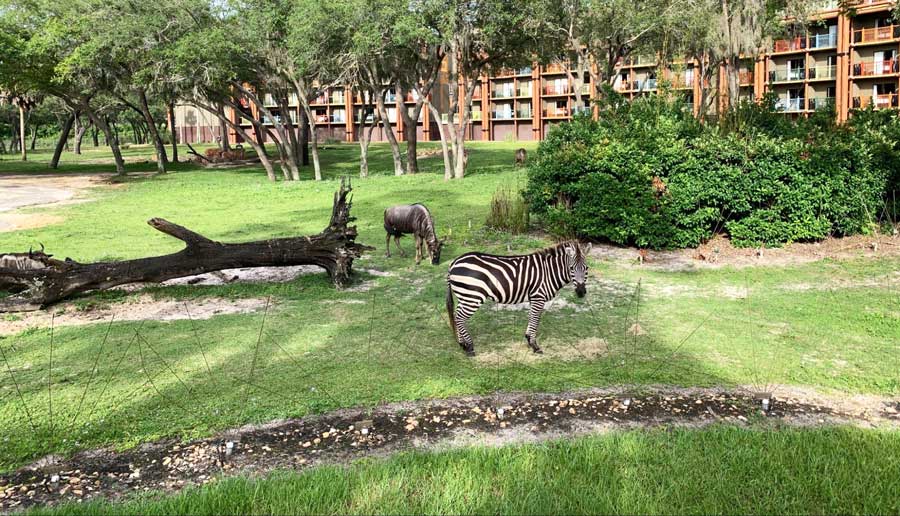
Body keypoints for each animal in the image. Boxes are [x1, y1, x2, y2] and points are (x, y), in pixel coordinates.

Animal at [445, 241, 591, 356]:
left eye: (586, 268)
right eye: (571, 268)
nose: (581, 292)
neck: (548, 272)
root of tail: (454, 262)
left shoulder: (534, 298)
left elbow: (532, 318)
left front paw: (529, 340)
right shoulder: (538, 296)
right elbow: (535, 319)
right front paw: (535, 346)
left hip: (465, 296)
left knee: (456, 316)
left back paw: (462, 344)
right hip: (473, 297)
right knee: (460, 317)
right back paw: (469, 347)